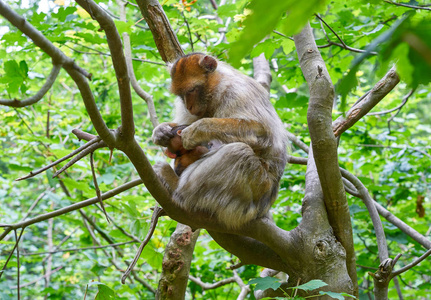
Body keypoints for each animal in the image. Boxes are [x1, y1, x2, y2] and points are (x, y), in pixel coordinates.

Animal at [152, 52, 290, 229]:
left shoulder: (237, 92)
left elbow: (261, 131)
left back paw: (177, 187)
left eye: (192, 90)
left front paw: (197, 130)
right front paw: (161, 131)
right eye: (182, 95)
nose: (189, 106)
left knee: (238, 152)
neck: (216, 89)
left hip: (258, 190)